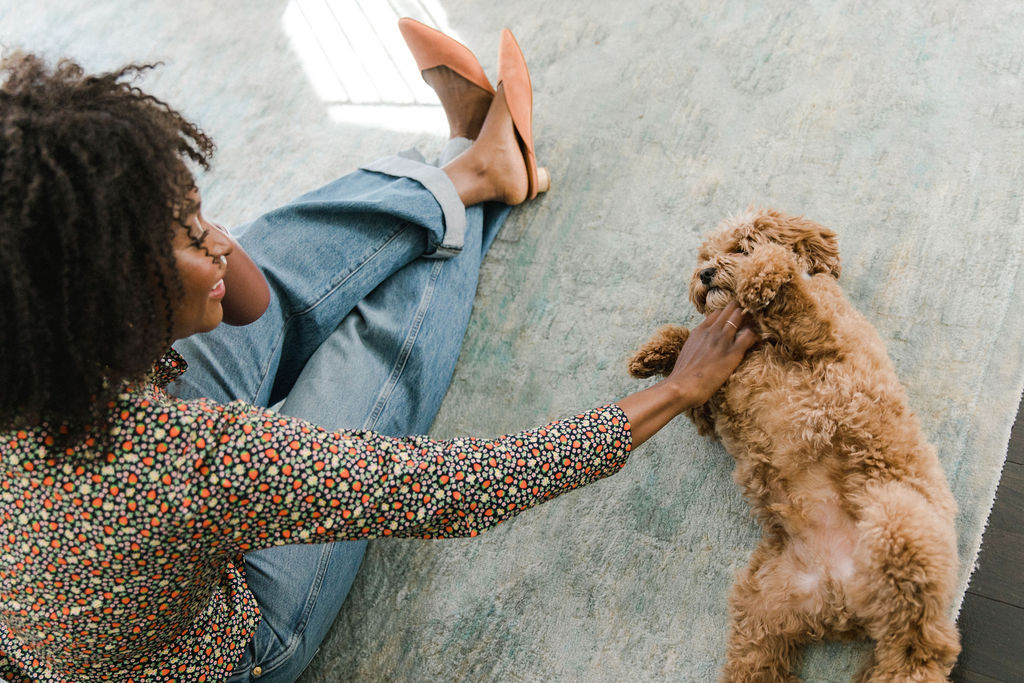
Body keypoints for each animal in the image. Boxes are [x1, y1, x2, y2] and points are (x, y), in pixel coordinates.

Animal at [626, 209, 962, 683]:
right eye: (704, 257)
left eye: (739, 247)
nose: (705, 274)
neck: (750, 344)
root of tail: (842, 596)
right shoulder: (710, 405)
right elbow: (690, 379)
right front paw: (656, 351)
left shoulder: (822, 337)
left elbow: (792, 299)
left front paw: (766, 271)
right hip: (763, 607)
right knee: (760, 661)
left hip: (898, 525)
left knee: (922, 646)